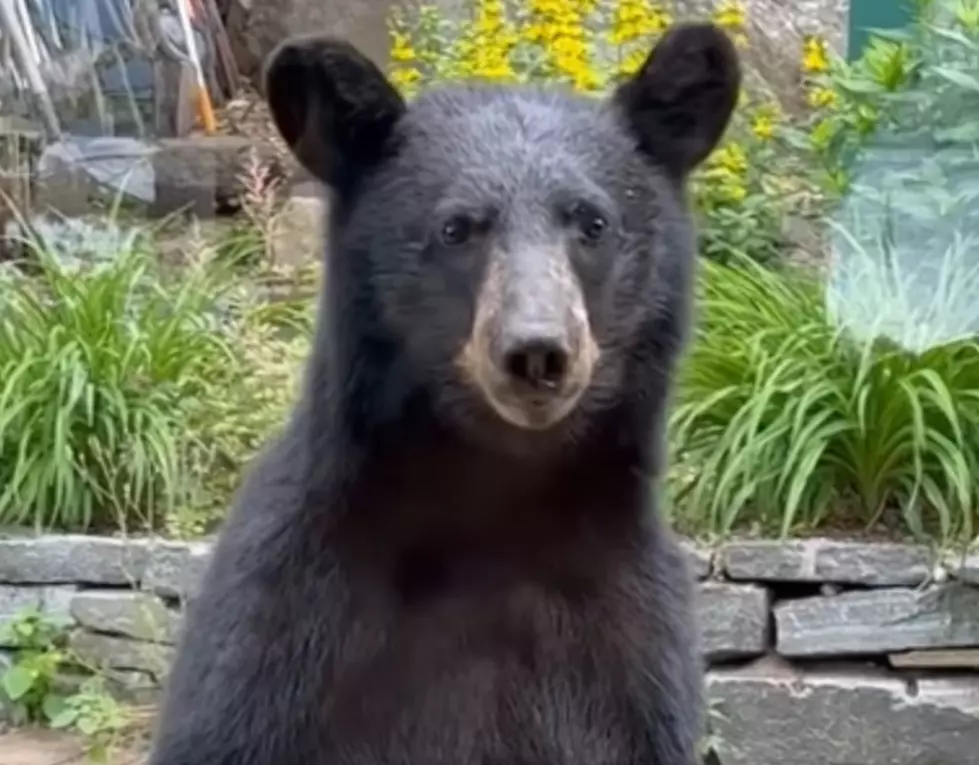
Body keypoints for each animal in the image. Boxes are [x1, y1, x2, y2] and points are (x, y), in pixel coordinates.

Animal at [149, 22, 740, 764]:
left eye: (592, 223)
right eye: (457, 227)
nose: (537, 351)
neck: (489, 507)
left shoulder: (629, 654)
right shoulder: (278, 634)